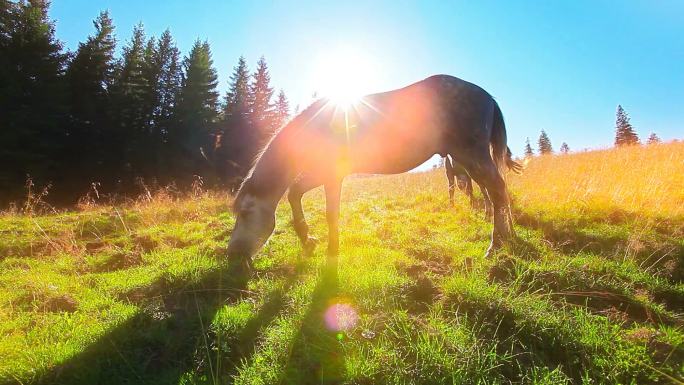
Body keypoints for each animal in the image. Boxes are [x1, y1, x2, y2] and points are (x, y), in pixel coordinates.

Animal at [230, 75, 524, 268]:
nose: (232, 254)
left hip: (471, 155)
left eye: (244, 213)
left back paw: (496, 244)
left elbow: (329, 212)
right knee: (497, 192)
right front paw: (308, 240)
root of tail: (488, 97)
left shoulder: (332, 175)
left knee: (497, 191)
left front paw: (330, 248)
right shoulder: (323, 174)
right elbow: (295, 194)